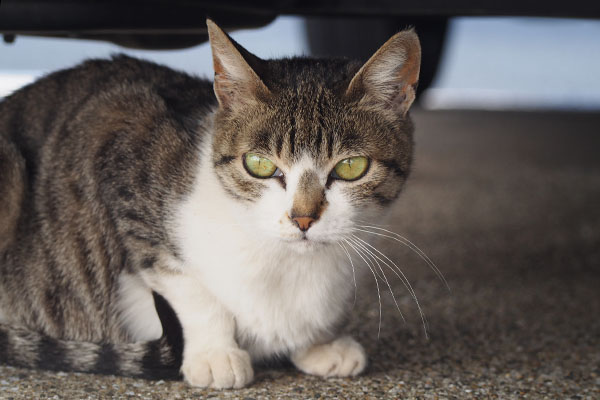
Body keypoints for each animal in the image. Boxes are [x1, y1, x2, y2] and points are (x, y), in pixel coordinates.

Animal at [0, 18, 422, 388]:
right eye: (259, 164)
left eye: (351, 167)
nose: (302, 218)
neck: (281, 260)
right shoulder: (115, 133)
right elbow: (185, 285)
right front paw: (215, 353)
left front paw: (318, 344)